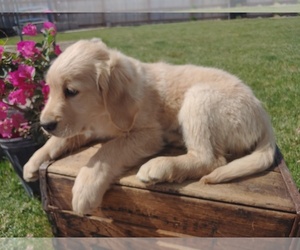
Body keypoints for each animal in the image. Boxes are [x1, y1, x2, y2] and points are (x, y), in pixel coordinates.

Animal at [23, 39, 276, 215]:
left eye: (71, 91)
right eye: (50, 88)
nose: (45, 124)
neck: (103, 114)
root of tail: (262, 113)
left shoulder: (148, 134)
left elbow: (108, 150)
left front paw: (86, 187)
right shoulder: (86, 126)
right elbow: (61, 138)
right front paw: (33, 161)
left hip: (199, 98)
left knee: (211, 159)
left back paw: (161, 165)